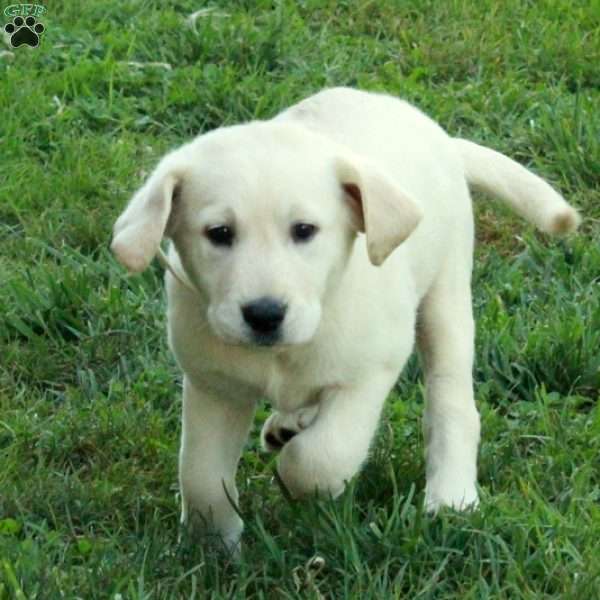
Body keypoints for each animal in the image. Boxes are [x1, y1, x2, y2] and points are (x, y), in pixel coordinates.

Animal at [110, 86, 580, 552]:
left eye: (304, 230)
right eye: (219, 234)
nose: (265, 314)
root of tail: (440, 137)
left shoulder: (368, 374)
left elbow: (321, 457)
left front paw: (296, 481)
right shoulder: (213, 385)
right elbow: (201, 474)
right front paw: (214, 545)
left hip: (445, 295)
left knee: (453, 404)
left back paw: (451, 498)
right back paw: (288, 425)